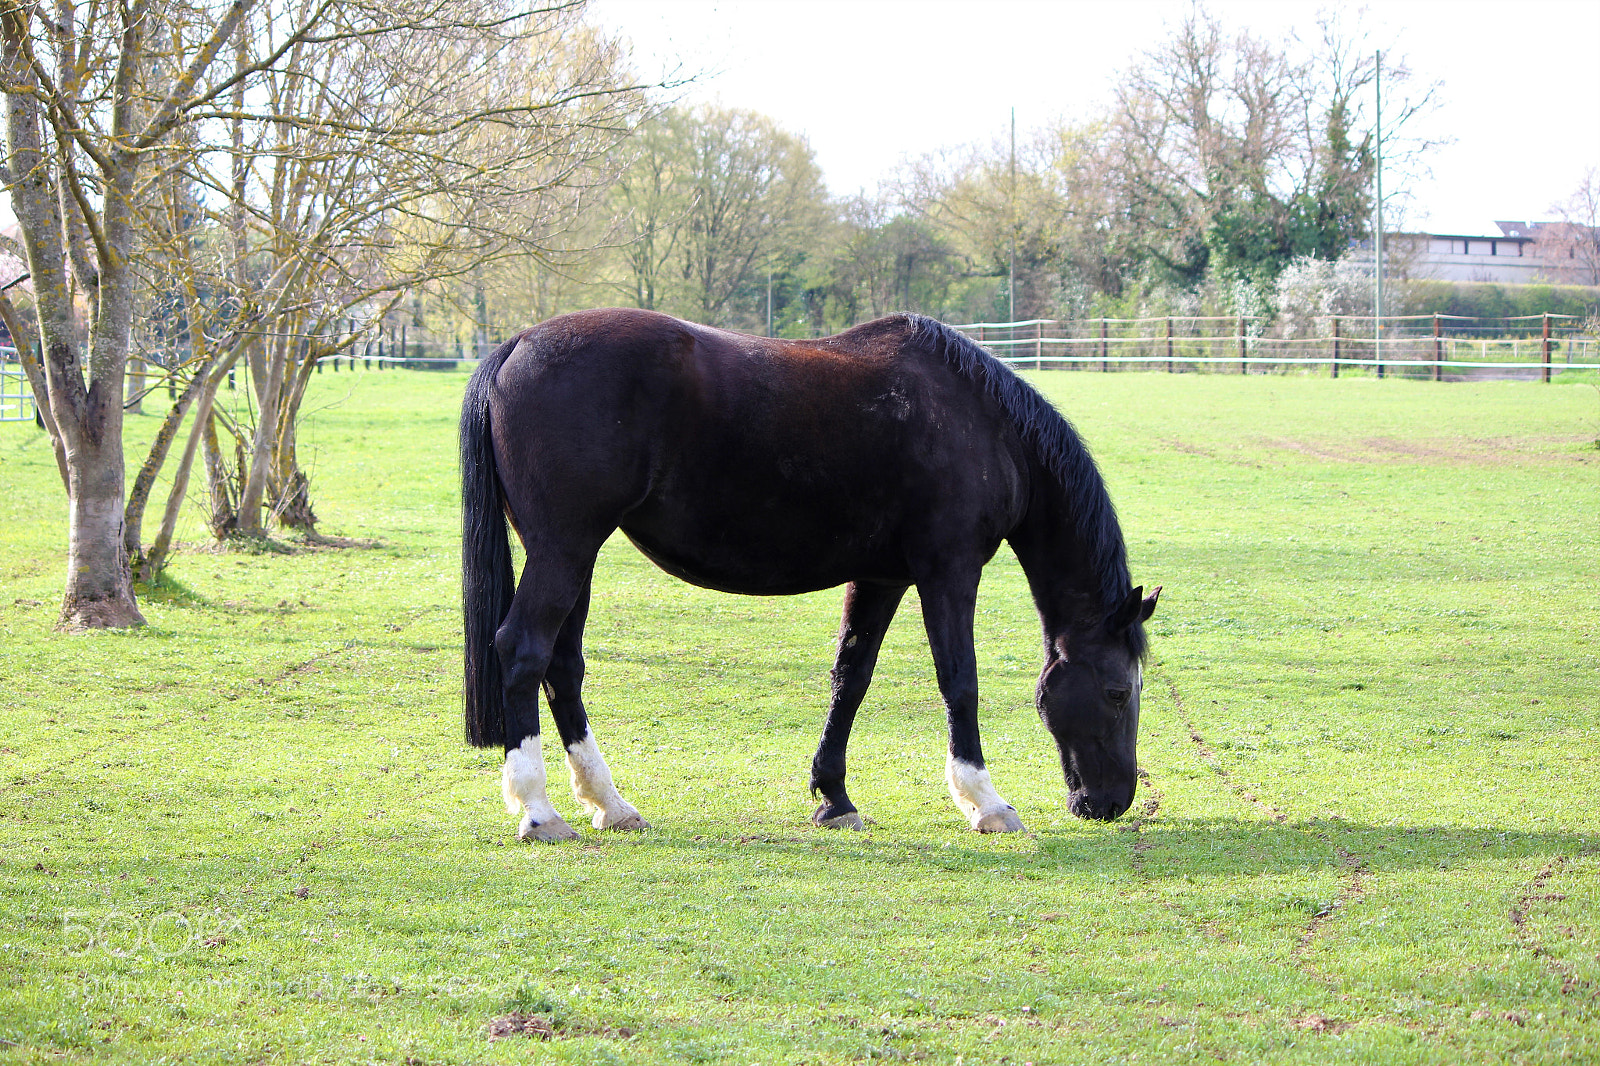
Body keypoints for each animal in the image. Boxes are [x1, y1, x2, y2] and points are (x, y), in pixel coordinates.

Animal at [460, 308, 1159, 842]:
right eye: (1118, 692)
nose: (1113, 802)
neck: (983, 424)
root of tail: (519, 344)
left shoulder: (881, 578)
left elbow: (851, 678)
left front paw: (835, 797)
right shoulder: (948, 572)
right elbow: (960, 682)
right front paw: (985, 802)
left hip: (573, 555)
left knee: (562, 666)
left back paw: (609, 803)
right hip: (564, 550)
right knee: (523, 650)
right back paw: (539, 811)